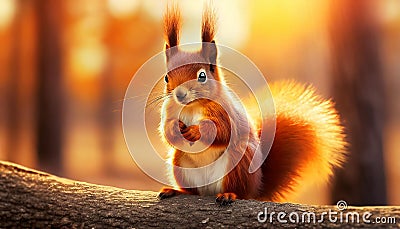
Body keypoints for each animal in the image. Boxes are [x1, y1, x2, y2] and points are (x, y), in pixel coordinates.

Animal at [157, 4, 346, 206]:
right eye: (167, 77)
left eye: (202, 76)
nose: (180, 94)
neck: (192, 106)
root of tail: (256, 188)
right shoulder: (169, 109)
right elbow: (166, 132)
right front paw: (175, 128)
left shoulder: (226, 111)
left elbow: (223, 130)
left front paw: (195, 131)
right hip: (180, 163)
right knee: (192, 190)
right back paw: (177, 191)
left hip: (239, 162)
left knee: (239, 191)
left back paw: (229, 194)